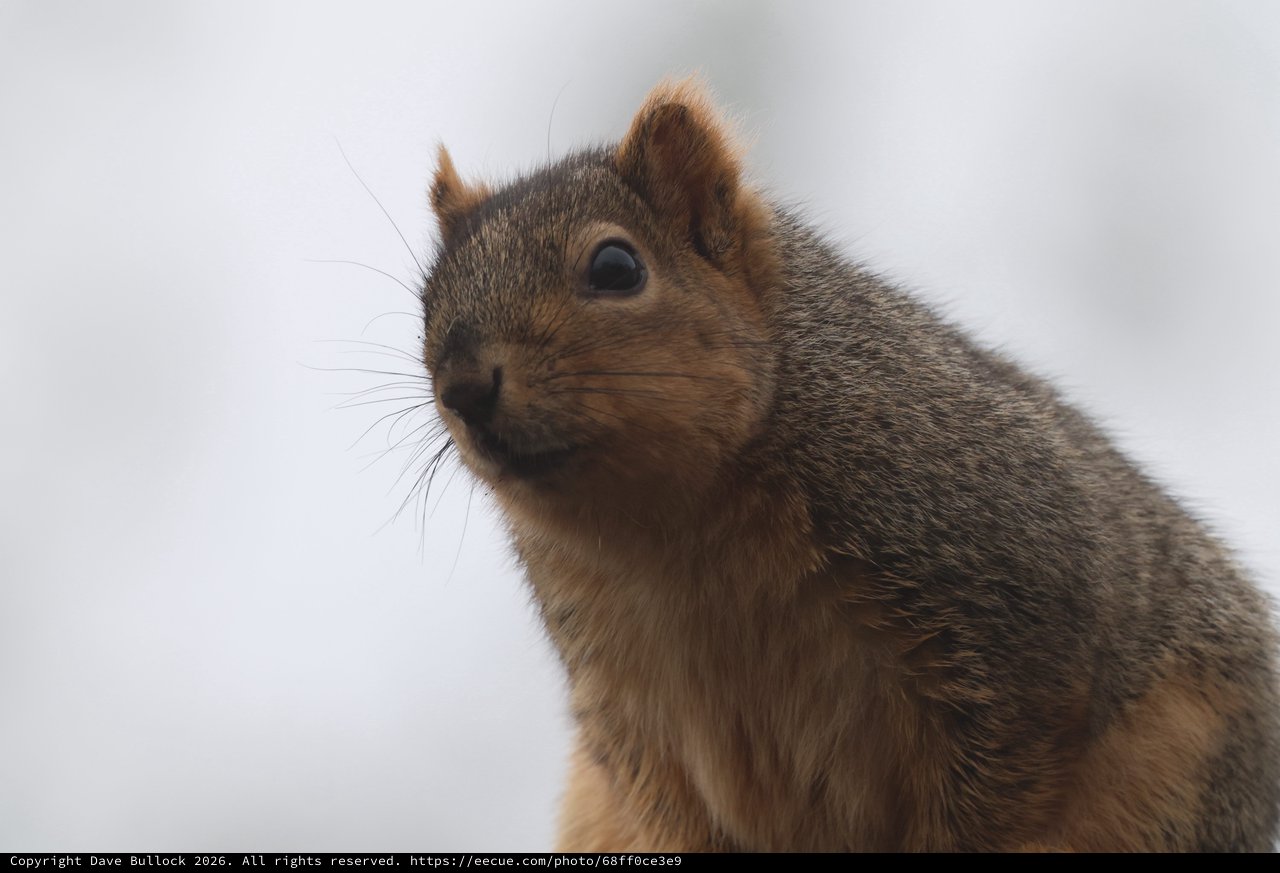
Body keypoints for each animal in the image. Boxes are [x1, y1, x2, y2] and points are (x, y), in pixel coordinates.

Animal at [418, 79, 1280, 851]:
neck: (673, 529)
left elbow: (1007, 768)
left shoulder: (1019, 597)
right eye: (427, 301)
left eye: (616, 268)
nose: (463, 384)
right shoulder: (629, 712)